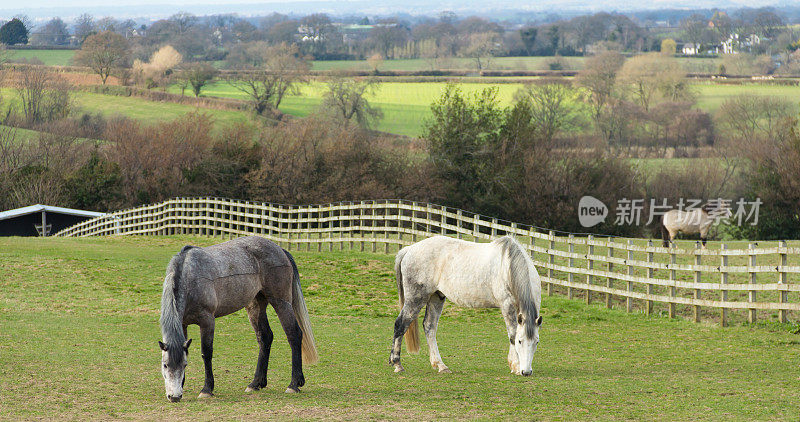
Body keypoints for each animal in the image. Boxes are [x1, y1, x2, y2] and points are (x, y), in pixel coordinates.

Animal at [158, 236, 318, 400]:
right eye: (165, 365)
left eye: (184, 365)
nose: (174, 396)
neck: (189, 276)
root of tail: (279, 249)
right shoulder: (183, 324)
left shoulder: (207, 321)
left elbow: (206, 353)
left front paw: (207, 389)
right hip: (255, 306)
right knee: (265, 337)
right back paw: (255, 383)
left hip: (281, 302)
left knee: (294, 334)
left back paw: (294, 384)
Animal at [390, 236, 540, 378]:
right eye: (520, 341)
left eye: (536, 342)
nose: (526, 372)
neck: (508, 267)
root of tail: (409, 249)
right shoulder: (506, 305)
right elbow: (512, 334)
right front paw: (516, 366)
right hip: (415, 299)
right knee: (400, 324)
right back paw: (397, 364)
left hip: (436, 297)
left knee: (429, 327)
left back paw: (440, 365)